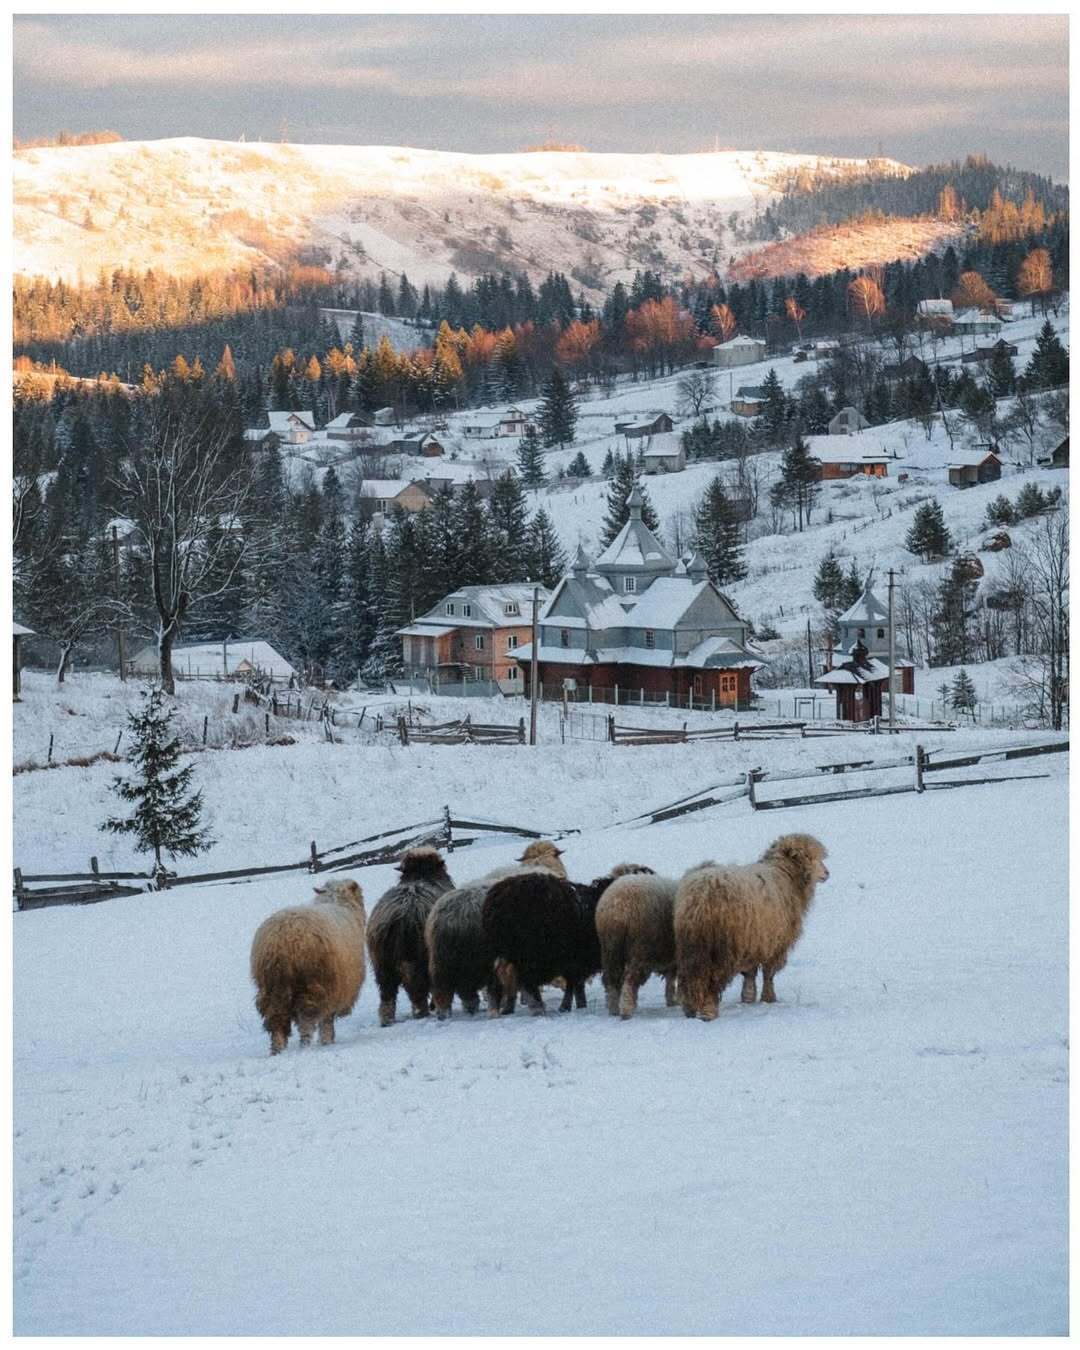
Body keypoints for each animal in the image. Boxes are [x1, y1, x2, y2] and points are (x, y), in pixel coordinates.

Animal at [251, 874, 369, 1053]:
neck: (338, 901)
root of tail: (283, 941)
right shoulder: (334, 988)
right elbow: (327, 1021)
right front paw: (327, 1041)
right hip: (312, 985)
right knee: (306, 1021)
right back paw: (305, 1046)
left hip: (271, 988)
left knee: (276, 1020)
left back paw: (278, 1050)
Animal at [367, 847, 456, 1026]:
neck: (421, 876)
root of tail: (402, 917)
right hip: (419, 959)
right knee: (419, 988)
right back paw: (424, 1012)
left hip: (382, 965)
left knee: (387, 994)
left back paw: (387, 1020)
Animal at [669, 831, 831, 1020]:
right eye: (808, 857)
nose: (827, 873)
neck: (785, 874)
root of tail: (700, 896)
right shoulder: (775, 943)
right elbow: (769, 973)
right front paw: (769, 998)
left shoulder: (754, 940)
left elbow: (750, 972)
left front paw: (747, 998)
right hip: (722, 945)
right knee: (712, 978)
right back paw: (709, 1011)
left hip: (691, 944)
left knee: (690, 975)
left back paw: (690, 1008)